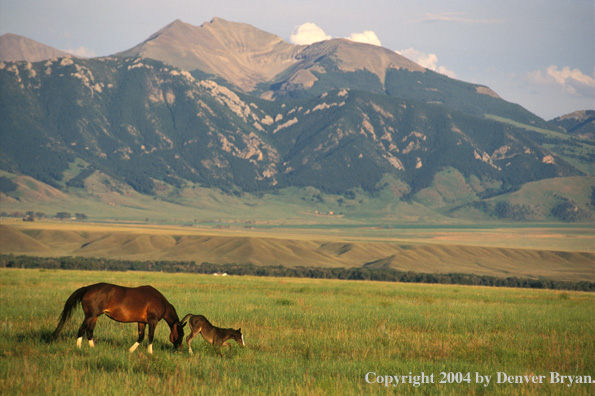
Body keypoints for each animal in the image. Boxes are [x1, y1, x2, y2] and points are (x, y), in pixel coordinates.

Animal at [52, 284, 185, 354]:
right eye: (182, 334)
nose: (180, 349)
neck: (159, 300)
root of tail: (88, 288)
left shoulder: (141, 322)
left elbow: (141, 337)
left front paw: (130, 350)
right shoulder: (153, 321)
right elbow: (150, 337)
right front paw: (150, 352)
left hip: (94, 317)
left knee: (89, 332)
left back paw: (93, 348)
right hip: (90, 316)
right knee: (81, 330)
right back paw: (79, 347)